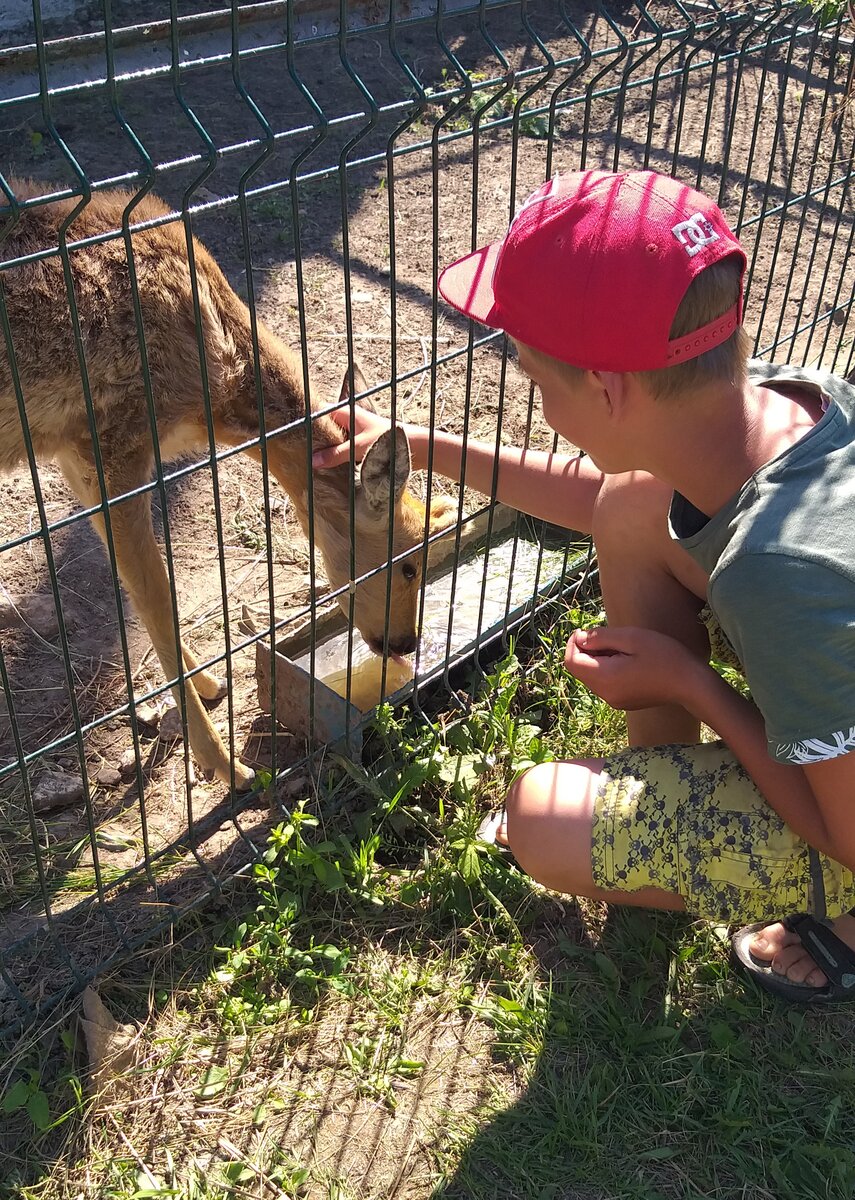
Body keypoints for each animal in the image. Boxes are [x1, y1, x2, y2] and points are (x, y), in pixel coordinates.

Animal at [0, 180, 458, 787]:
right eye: (408, 564)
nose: (406, 641)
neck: (214, 380)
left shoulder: (74, 455)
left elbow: (144, 589)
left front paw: (209, 681)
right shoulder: (113, 443)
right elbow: (156, 595)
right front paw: (229, 767)